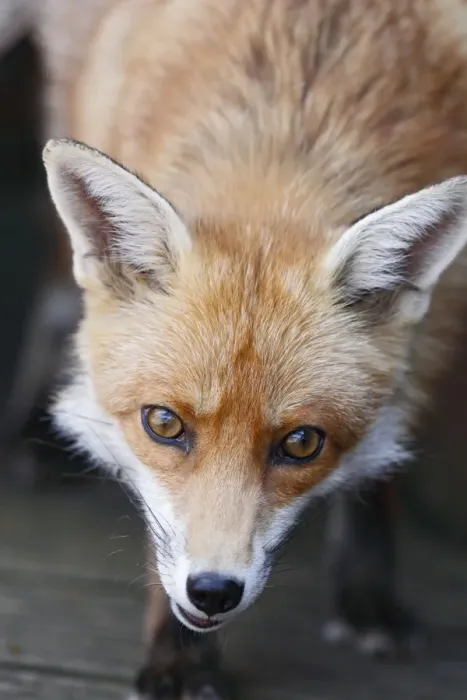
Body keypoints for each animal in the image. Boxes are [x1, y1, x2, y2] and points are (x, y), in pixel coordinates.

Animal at [4, 0, 467, 697]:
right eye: (164, 424)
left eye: (302, 443)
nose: (214, 592)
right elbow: (162, 534)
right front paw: (179, 658)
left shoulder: (443, 312)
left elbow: (389, 448)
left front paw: (368, 593)